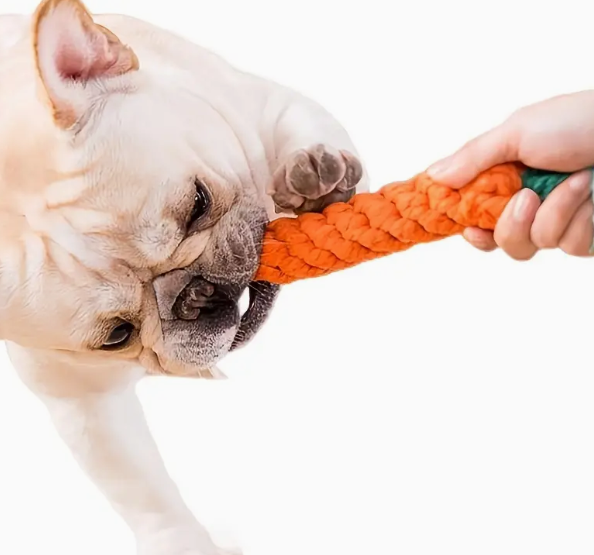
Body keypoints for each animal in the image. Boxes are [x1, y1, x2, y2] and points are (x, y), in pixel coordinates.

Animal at [0, 2, 368, 552]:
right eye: (116, 336)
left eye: (198, 203)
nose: (193, 294)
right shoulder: (86, 403)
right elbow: (144, 493)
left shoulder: (259, 104)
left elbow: (299, 124)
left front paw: (315, 175)